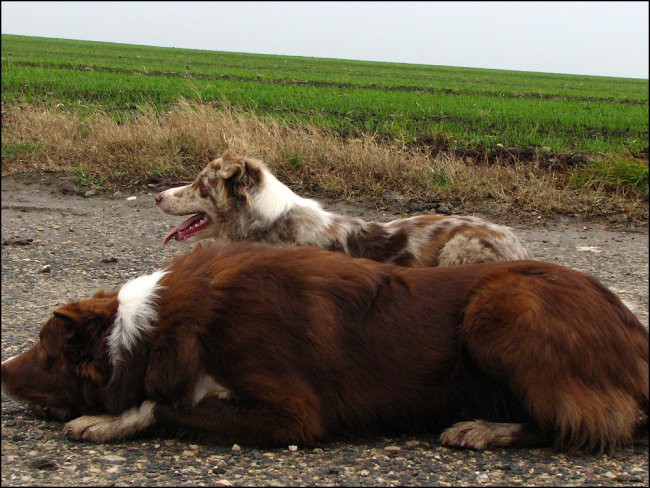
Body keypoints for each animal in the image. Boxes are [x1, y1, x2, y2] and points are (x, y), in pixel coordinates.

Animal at [2, 242, 644, 452]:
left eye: (45, 350)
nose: (1, 372)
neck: (157, 330)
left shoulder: (294, 414)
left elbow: (171, 404)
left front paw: (109, 420)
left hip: (502, 307)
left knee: (585, 420)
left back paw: (484, 429)